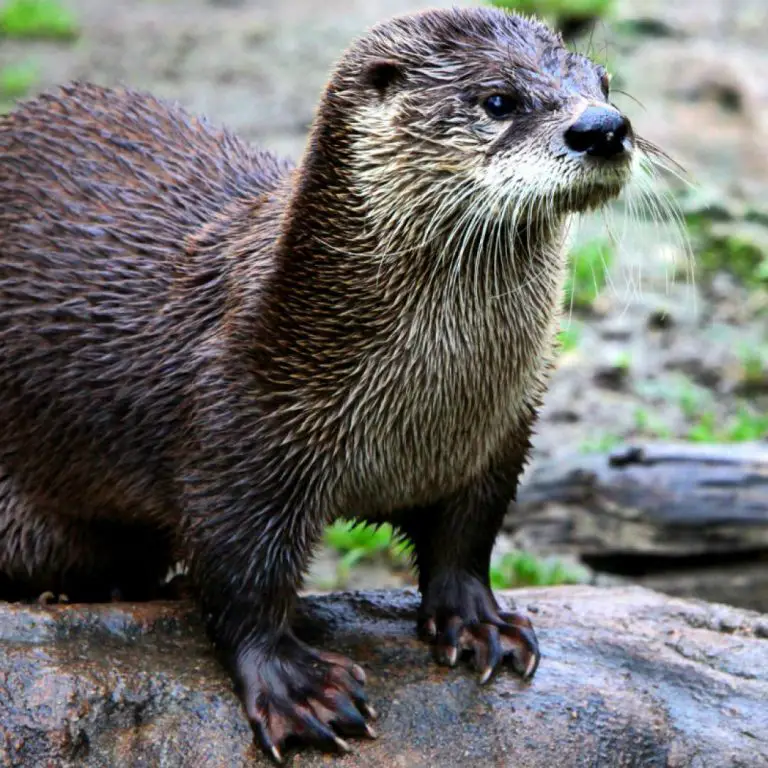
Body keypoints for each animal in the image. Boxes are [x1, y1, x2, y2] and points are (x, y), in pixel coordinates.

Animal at [0, 6, 640, 760]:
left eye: (603, 83)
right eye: (497, 101)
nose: (602, 127)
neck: (421, 414)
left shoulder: (500, 436)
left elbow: (467, 536)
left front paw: (478, 622)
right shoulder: (235, 432)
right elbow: (239, 578)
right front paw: (295, 686)